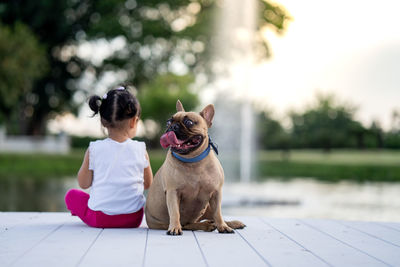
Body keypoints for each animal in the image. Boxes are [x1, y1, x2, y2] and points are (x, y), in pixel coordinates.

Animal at [145, 101, 245, 237]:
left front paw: (223, 227)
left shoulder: (216, 193)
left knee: (212, 217)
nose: (172, 126)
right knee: (187, 225)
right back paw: (205, 225)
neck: (193, 161)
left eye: (189, 122)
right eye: (168, 122)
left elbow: (218, 213)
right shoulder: (172, 192)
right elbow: (175, 212)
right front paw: (174, 228)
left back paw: (230, 223)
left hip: (207, 207)